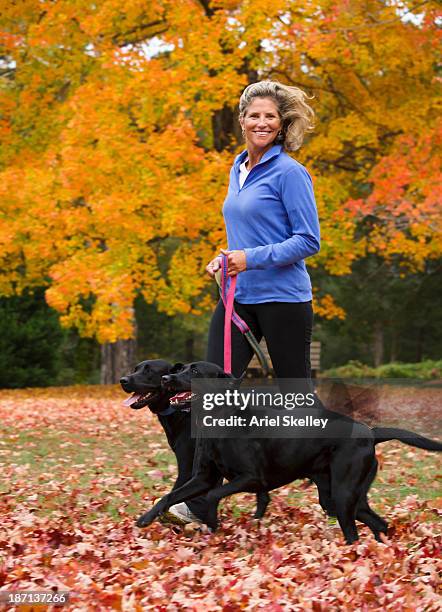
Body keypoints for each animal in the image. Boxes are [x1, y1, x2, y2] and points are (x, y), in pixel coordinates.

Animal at [136, 360, 442, 544]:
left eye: (196, 371)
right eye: (181, 368)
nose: (167, 377)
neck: (221, 418)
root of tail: (369, 432)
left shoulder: (252, 478)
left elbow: (213, 496)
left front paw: (212, 520)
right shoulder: (203, 477)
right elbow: (169, 495)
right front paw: (146, 518)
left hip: (343, 494)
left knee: (354, 533)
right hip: (341, 496)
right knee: (378, 522)